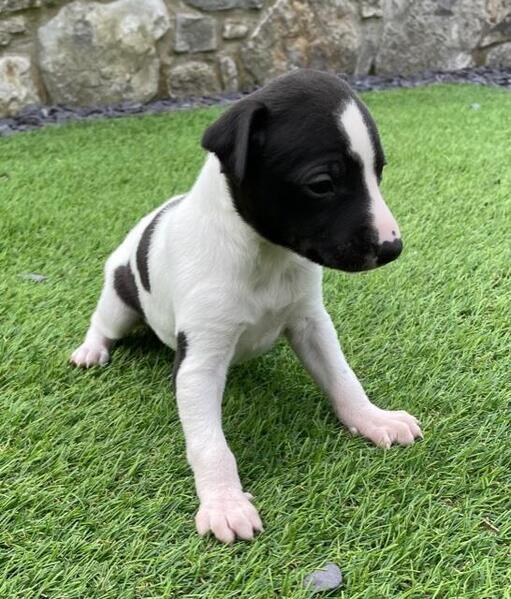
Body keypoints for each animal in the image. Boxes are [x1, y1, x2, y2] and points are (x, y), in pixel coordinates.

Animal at [72, 69, 424, 544]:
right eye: (322, 185)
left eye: (378, 171)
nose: (392, 248)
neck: (264, 257)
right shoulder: (198, 363)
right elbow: (209, 444)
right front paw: (223, 502)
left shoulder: (311, 323)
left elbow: (343, 378)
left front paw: (372, 418)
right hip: (120, 297)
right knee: (103, 321)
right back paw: (91, 349)